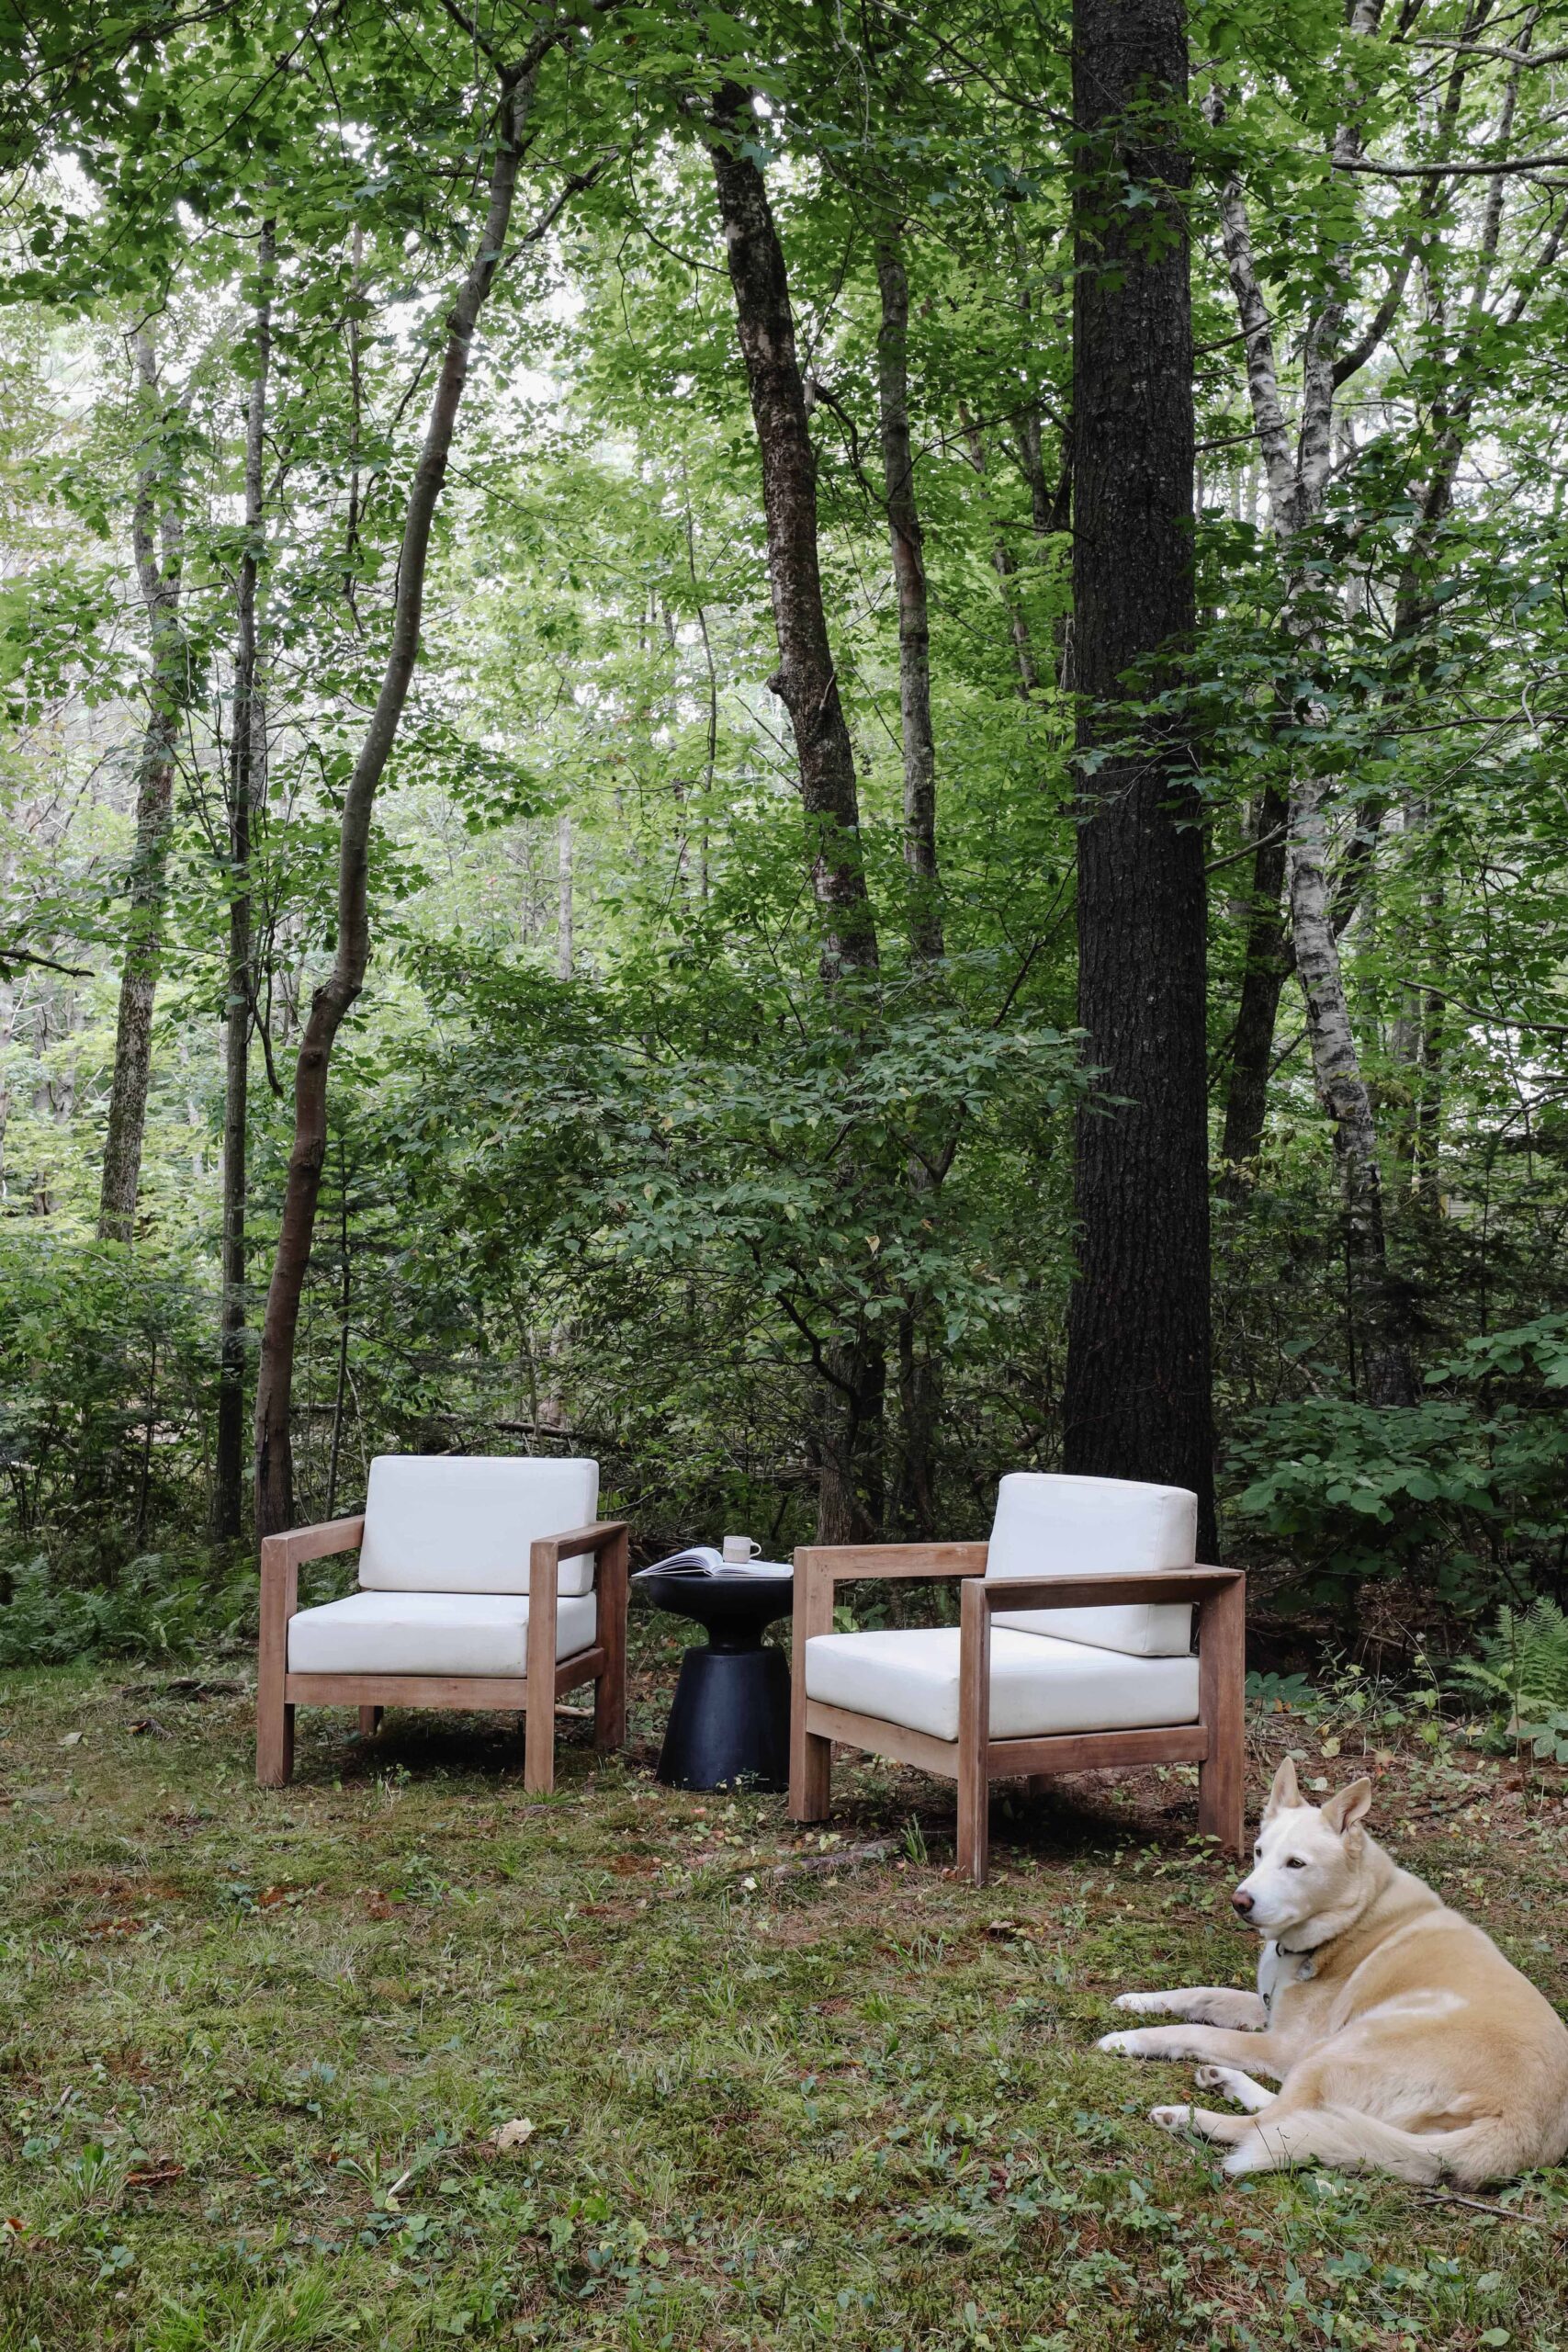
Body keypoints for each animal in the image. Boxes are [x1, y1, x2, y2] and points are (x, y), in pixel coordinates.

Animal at [1100, 1769, 1568, 2182]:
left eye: (1296, 1864)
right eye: (1259, 1852)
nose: (1239, 1902)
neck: (1353, 1918)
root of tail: (1518, 2130)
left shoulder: (1284, 2044)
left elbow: (1194, 2032)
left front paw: (1127, 2039)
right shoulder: (1268, 2009)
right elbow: (1199, 1994)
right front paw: (1137, 2001)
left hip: (1336, 2049)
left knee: (1269, 2126)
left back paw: (1185, 2116)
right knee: (1295, 2113)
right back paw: (1226, 2082)